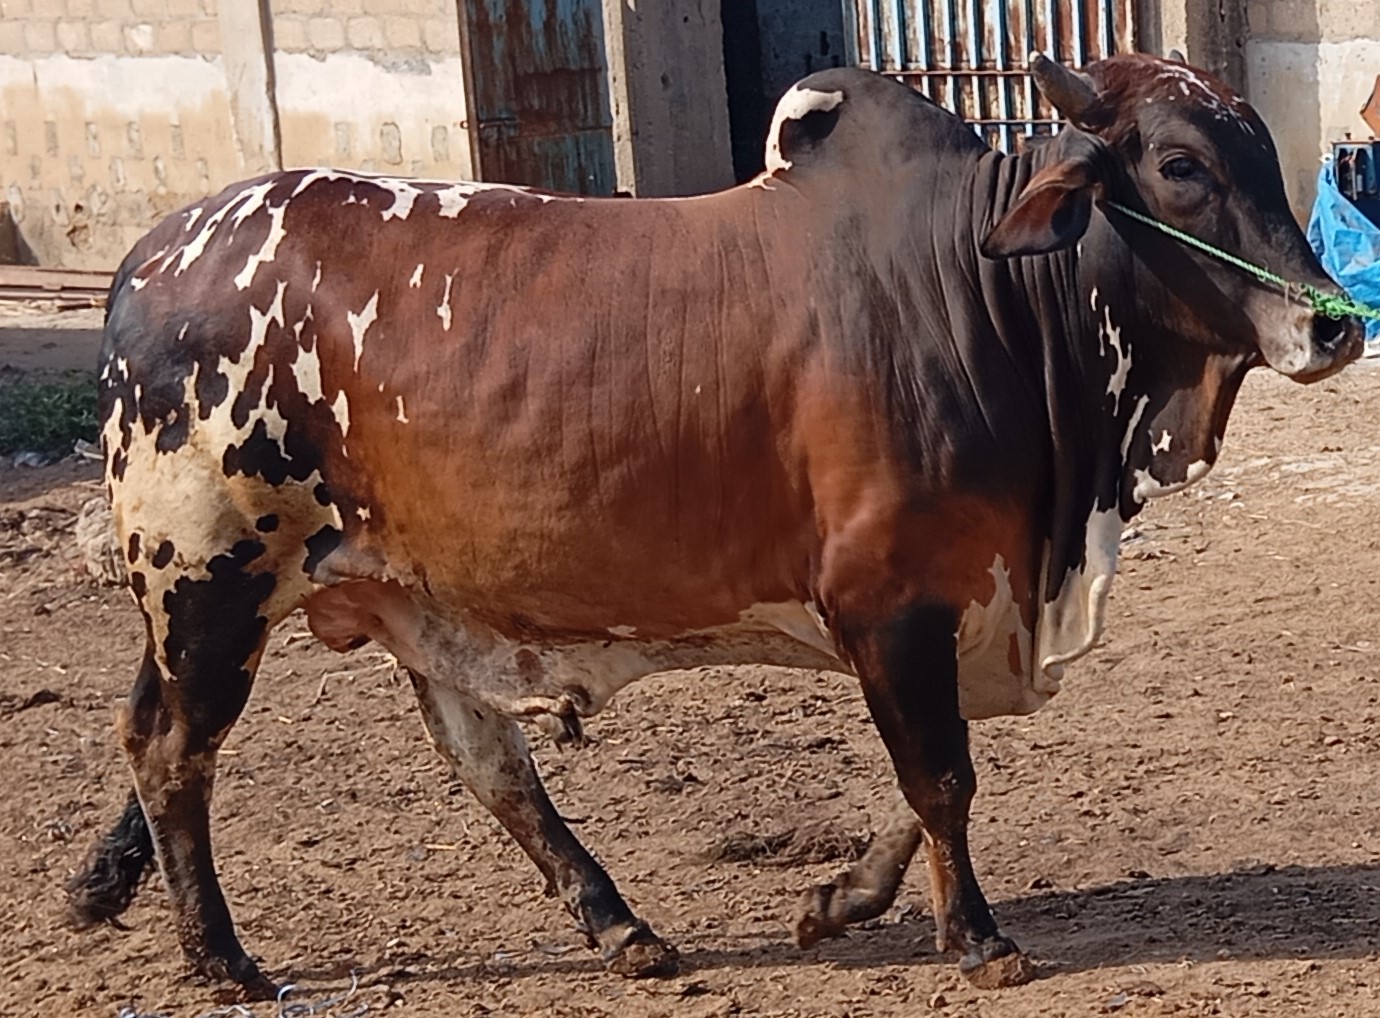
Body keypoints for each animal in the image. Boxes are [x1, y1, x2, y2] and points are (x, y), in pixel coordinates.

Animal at [67, 53, 1362, 998]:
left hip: (389, 589)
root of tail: (147, 259)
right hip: (211, 580)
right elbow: (942, 773)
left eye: (1264, 154)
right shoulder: (888, 597)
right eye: (1182, 164)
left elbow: (931, 775)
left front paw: (840, 900)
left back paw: (619, 924)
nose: (1337, 323)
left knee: (483, 762)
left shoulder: (959, 595)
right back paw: (223, 959)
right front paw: (981, 939)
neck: (983, 293)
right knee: (172, 751)